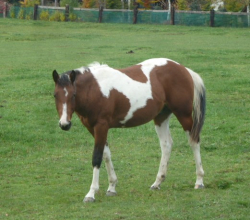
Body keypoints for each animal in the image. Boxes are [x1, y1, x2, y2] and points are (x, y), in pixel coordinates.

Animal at [51, 58, 206, 203]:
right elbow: (106, 154)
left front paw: (91, 193)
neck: (94, 89)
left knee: (194, 141)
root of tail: (183, 69)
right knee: (166, 145)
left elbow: (97, 157)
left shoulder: (101, 126)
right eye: (55, 95)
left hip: (184, 115)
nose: (64, 124)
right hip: (161, 117)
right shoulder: (92, 128)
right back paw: (157, 182)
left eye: (73, 95)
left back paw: (199, 181)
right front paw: (112, 187)